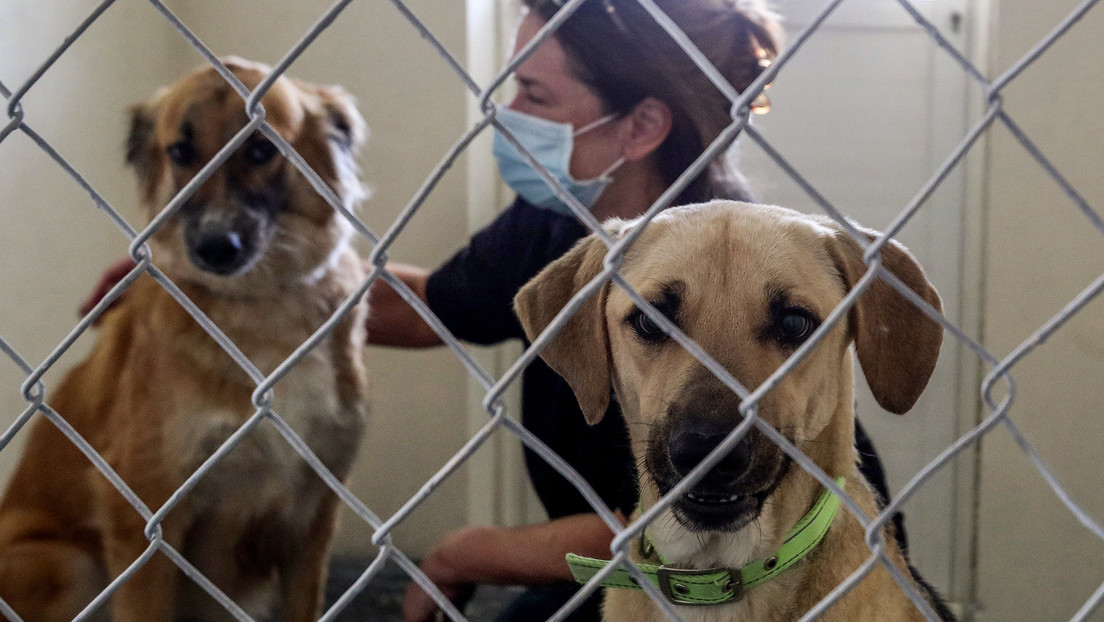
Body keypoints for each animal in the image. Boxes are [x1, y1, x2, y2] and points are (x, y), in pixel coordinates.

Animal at [0, 57, 370, 618]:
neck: (260, 310)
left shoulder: (314, 516)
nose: (216, 246)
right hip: (68, 562)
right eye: (180, 152)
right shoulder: (144, 511)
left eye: (260, 148)